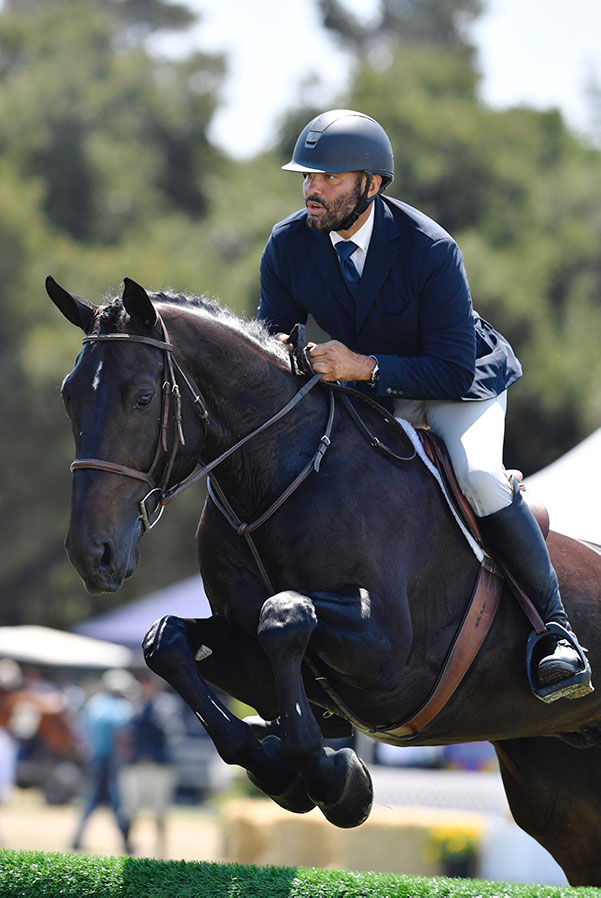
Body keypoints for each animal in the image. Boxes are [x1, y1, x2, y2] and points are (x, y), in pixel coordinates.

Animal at [48, 276, 601, 884]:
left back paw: (560, 655)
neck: (278, 474)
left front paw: (335, 780)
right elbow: (165, 641)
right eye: (69, 397)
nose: (91, 554)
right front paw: (277, 767)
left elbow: (285, 615)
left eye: (143, 397)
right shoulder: (239, 639)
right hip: (559, 787)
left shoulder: (393, 660)